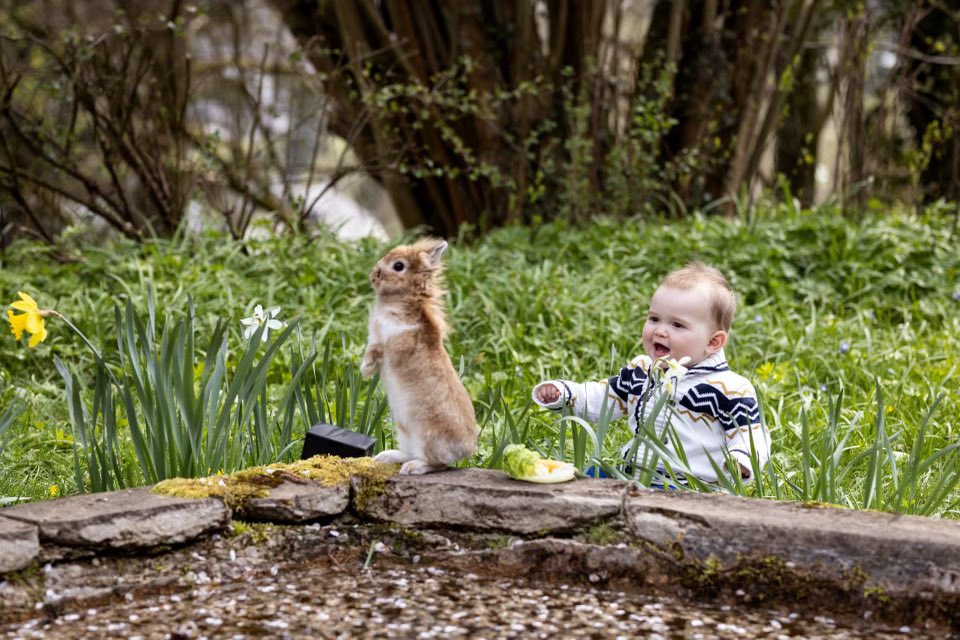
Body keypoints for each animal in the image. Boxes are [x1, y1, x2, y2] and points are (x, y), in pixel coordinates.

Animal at [360, 238, 476, 472]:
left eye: (398, 266)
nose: (373, 274)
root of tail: (467, 449)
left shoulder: (389, 342)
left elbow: (377, 351)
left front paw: (364, 369)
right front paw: (364, 371)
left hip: (426, 437)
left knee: (437, 464)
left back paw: (412, 468)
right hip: (404, 433)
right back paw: (386, 457)